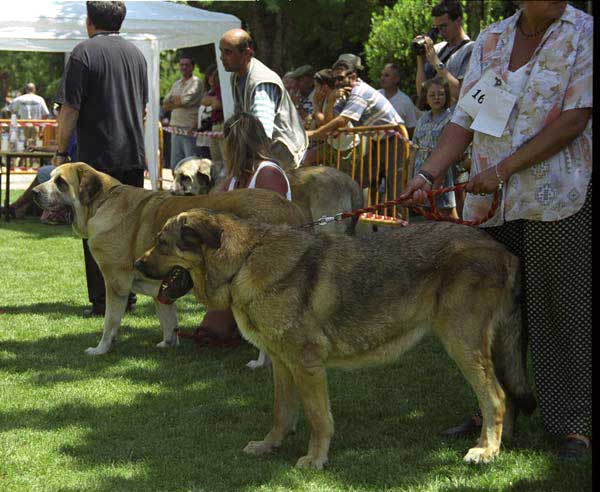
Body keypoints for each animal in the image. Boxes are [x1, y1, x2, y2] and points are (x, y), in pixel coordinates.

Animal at [32, 163, 304, 356]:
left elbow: (110, 321)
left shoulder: (116, 284)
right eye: (50, 178)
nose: (34, 191)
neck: (102, 203)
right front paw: (168, 343)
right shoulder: (162, 286)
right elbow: (167, 316)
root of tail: (290, 209)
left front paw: (100, 349)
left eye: (60, 182)